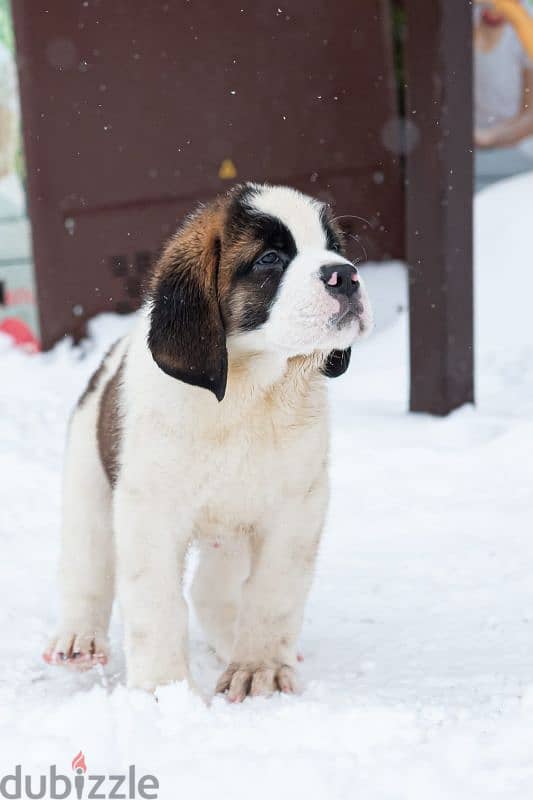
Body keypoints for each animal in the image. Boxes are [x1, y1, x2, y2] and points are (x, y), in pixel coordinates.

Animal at [43, 183, 372, 700]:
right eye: (270, 259)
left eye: (334, 247)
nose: (346, 276)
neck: (246, 395)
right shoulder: (149, 512)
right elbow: (155, 602)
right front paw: (164, 688)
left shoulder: (297, 507)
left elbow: (274, 592)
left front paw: (259, 669)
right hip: (88, 478)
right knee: (87, 561)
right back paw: (79, 637)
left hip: (231, 524)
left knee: (212, 590)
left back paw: (229, 639)